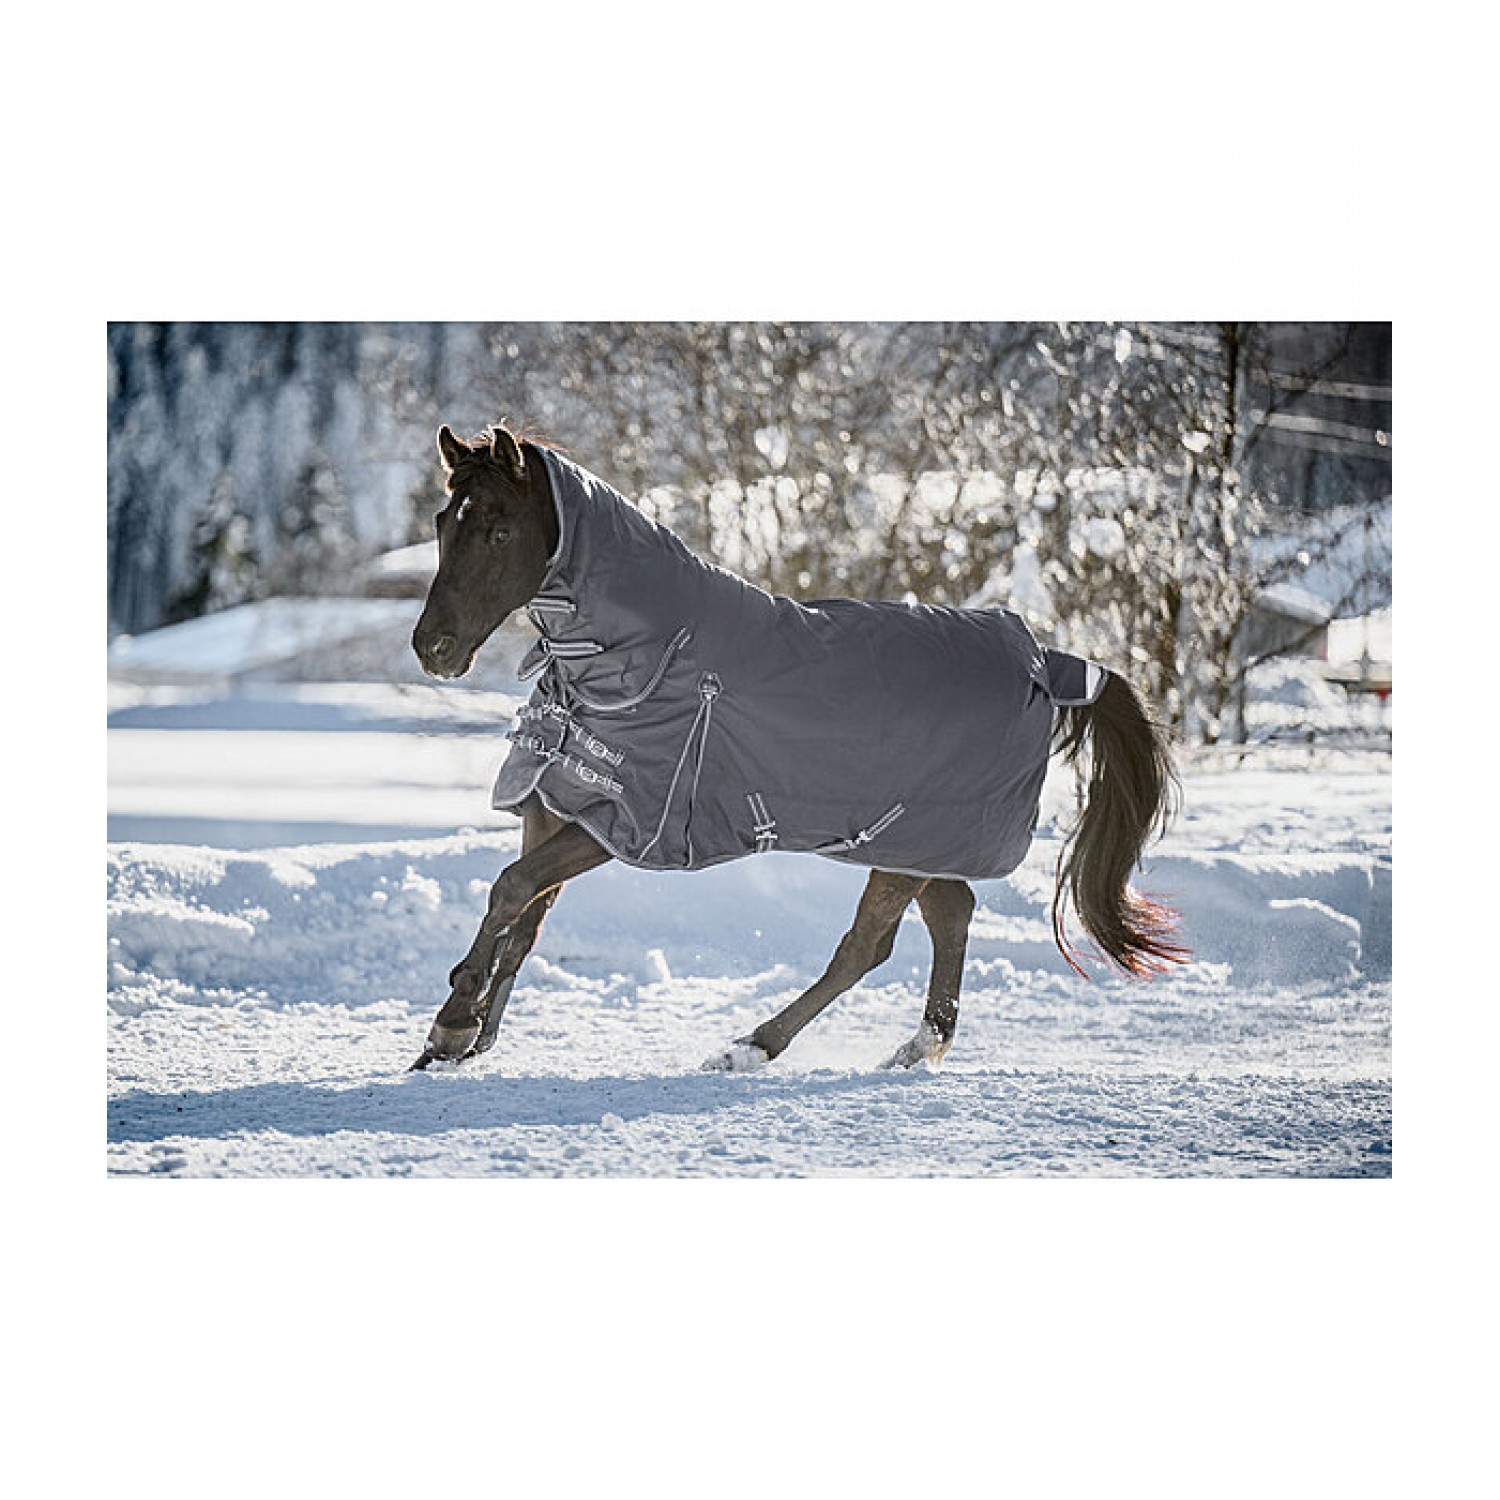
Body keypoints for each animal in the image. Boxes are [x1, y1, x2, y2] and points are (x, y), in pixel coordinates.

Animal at [409, 422, 1185, 1072]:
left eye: (499, 530)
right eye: (446, 522)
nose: (432, 647)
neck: (643, 656)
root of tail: (1044, 663)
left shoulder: (622, 822)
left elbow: (512, 890)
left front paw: (453, 1023)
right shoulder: (559, 800)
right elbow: (526, 916)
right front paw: (467, 1038)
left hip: (904, 844)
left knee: (869, 944)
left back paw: (753, 1045)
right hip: (919, 846)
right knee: (951, 914)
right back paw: (919, 1046)